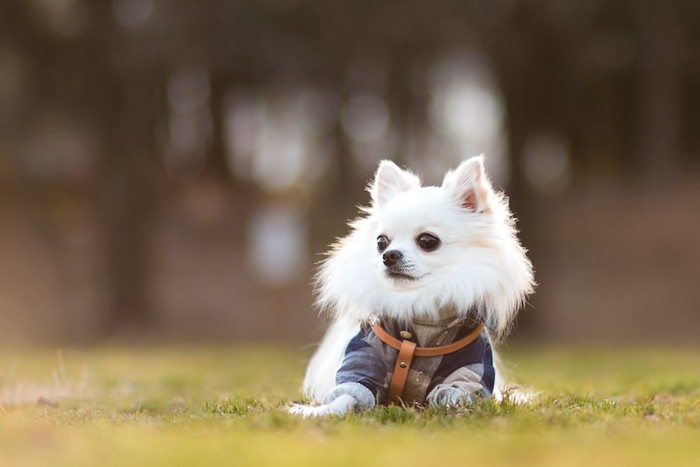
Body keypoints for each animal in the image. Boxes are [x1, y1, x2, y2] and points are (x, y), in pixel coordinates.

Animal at [290, 156, 536, 416]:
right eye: (381, 242)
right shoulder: (364, 356)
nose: (388, 255)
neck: (419, 305)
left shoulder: (468, 368)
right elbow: (348, 393)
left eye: (428, 241)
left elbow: (455, 395)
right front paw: (318, 411)